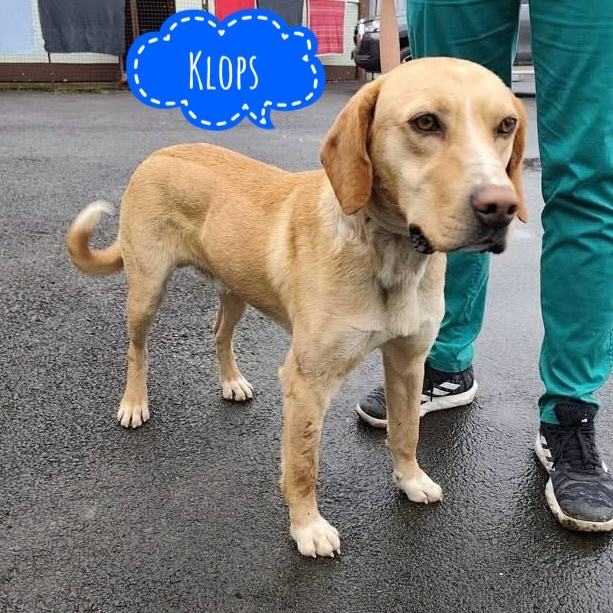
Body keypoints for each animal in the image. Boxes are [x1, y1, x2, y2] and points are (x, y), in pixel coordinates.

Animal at [66, 58, 526, 558]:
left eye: (506, 125)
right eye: (425, 122)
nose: (501, 207)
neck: (389, 253)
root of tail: (158, 154)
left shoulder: (408, 361)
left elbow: (406, 431)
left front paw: (410, 479)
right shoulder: (308, 382)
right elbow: (304, 465)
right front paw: (307, 527)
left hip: (236, 288)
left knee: (218, 334)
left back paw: (231, 382)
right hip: (147, 291)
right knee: (137, 349)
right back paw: (134, 403)